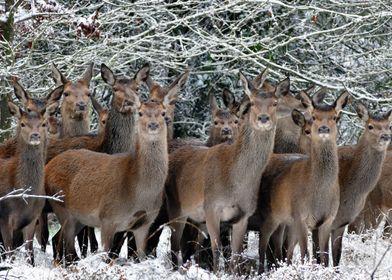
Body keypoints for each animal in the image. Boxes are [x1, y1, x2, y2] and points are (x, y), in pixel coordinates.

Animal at [0, 85, 63, 264]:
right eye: (23, 123)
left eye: (43, 123)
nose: (35, 135)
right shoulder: (4, 217)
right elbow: (9, 254)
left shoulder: (32, 219)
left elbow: (30, 254)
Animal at [44, 99, 172, 264]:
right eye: (140, 112)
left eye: (163, 113)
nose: (153, 124)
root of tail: (48, 167)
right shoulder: (107, 218)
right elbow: (106, 257)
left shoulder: (145, 223)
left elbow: (141, 256)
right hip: (60, 205)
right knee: (69, 247)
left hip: (79, 217)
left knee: (58, 239)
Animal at [165, 69, 284, 272]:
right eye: (252, 103)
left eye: (275, 103)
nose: (263, 118)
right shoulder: (212, 207)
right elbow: (217, 249)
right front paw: (217, 273)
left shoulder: (243, 215)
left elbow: (235, 254)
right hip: (176, 208)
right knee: (175, 244)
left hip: (198, 220)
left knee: (194, 245)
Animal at [254, 90, 350, 274]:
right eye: (314, 115)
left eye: (334, 117)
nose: (323, 128)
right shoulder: (300, 216)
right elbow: (306, 254)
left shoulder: (327, 220)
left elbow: (324, 257)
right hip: (271, 213)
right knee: (263, 240)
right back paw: (261, 270)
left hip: (286, 221)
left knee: (282, 246)